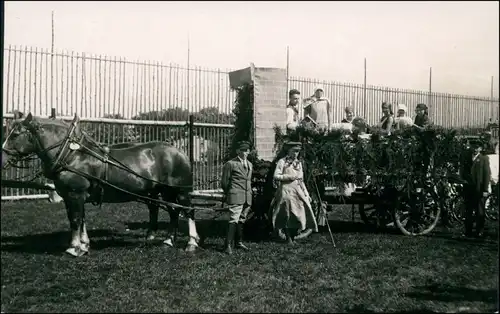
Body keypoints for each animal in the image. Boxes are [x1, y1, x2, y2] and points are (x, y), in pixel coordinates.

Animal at [2, 111, 201, 256]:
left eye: (16, 134)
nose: (2, 154)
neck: (72, 154)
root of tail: (179, 151)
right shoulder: (72, 195)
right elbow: (80, 218)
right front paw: (84, 245)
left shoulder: (75, 193)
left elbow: (75, 219)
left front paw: (74, 248)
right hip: (164, 191)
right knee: (173, 212)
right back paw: (168, 240)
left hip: (180, 191)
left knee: (188, 211)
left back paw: (191, 242)